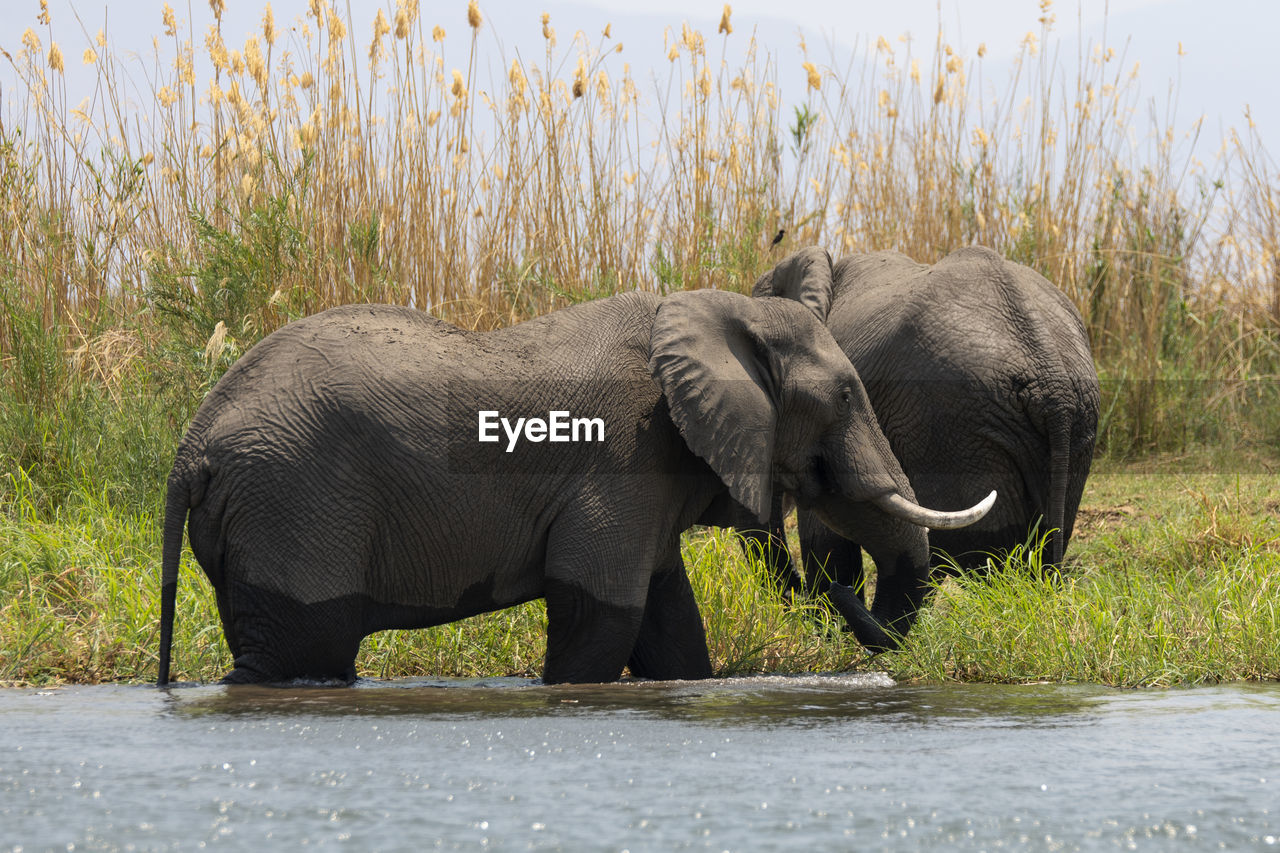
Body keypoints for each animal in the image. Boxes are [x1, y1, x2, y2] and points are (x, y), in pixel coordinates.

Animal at [154, 285, 993, 686]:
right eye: (847, 396)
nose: (842, 589)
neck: (716, 307)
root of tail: (191, 445)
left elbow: (671, 633)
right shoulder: (625, 457)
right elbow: (599, 615)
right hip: (293, 503)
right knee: (305, 648)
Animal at [747, 242, 1100, 640]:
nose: (797, 593)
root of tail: (1049, 373)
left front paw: (832, 630)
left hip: (950, 426)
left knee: (977, 556)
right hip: (1072, 424)